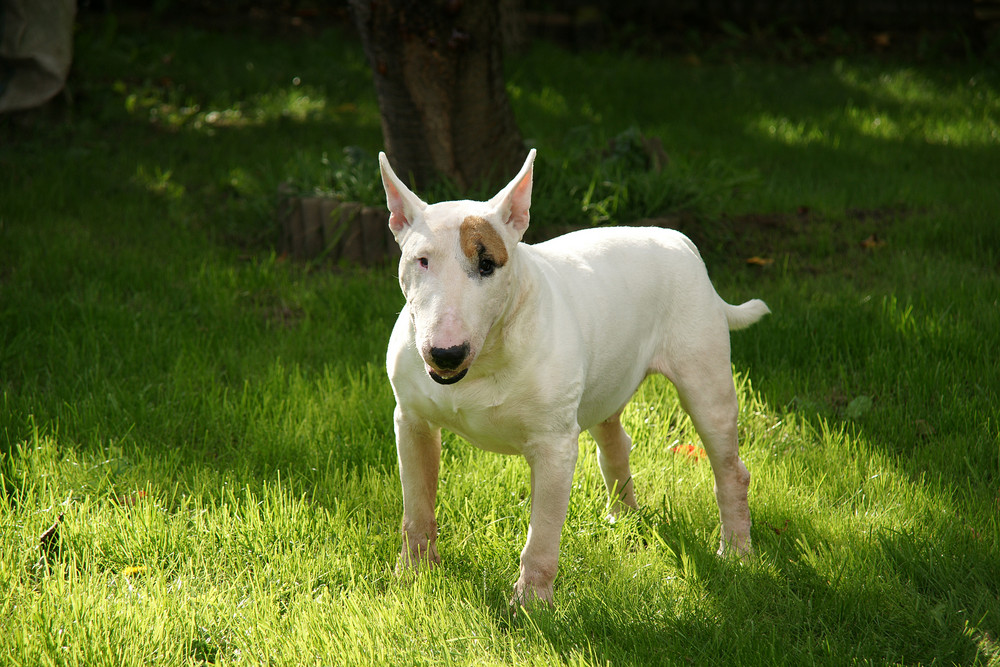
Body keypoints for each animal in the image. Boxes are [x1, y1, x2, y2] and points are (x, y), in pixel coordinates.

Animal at [378, 150, 768, 604]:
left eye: (487, 264)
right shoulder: (411, 422)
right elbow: (417, 506)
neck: (484, 359)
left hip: (704, 380)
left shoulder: (554, 447)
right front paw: (412, 576)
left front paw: (531, 603)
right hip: (607, 383)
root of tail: (679, 240)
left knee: (729, 467)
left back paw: (737, 551)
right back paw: (624, 519)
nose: (445, 354)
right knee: (616, 443)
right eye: (421, 260)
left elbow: (543, 533)